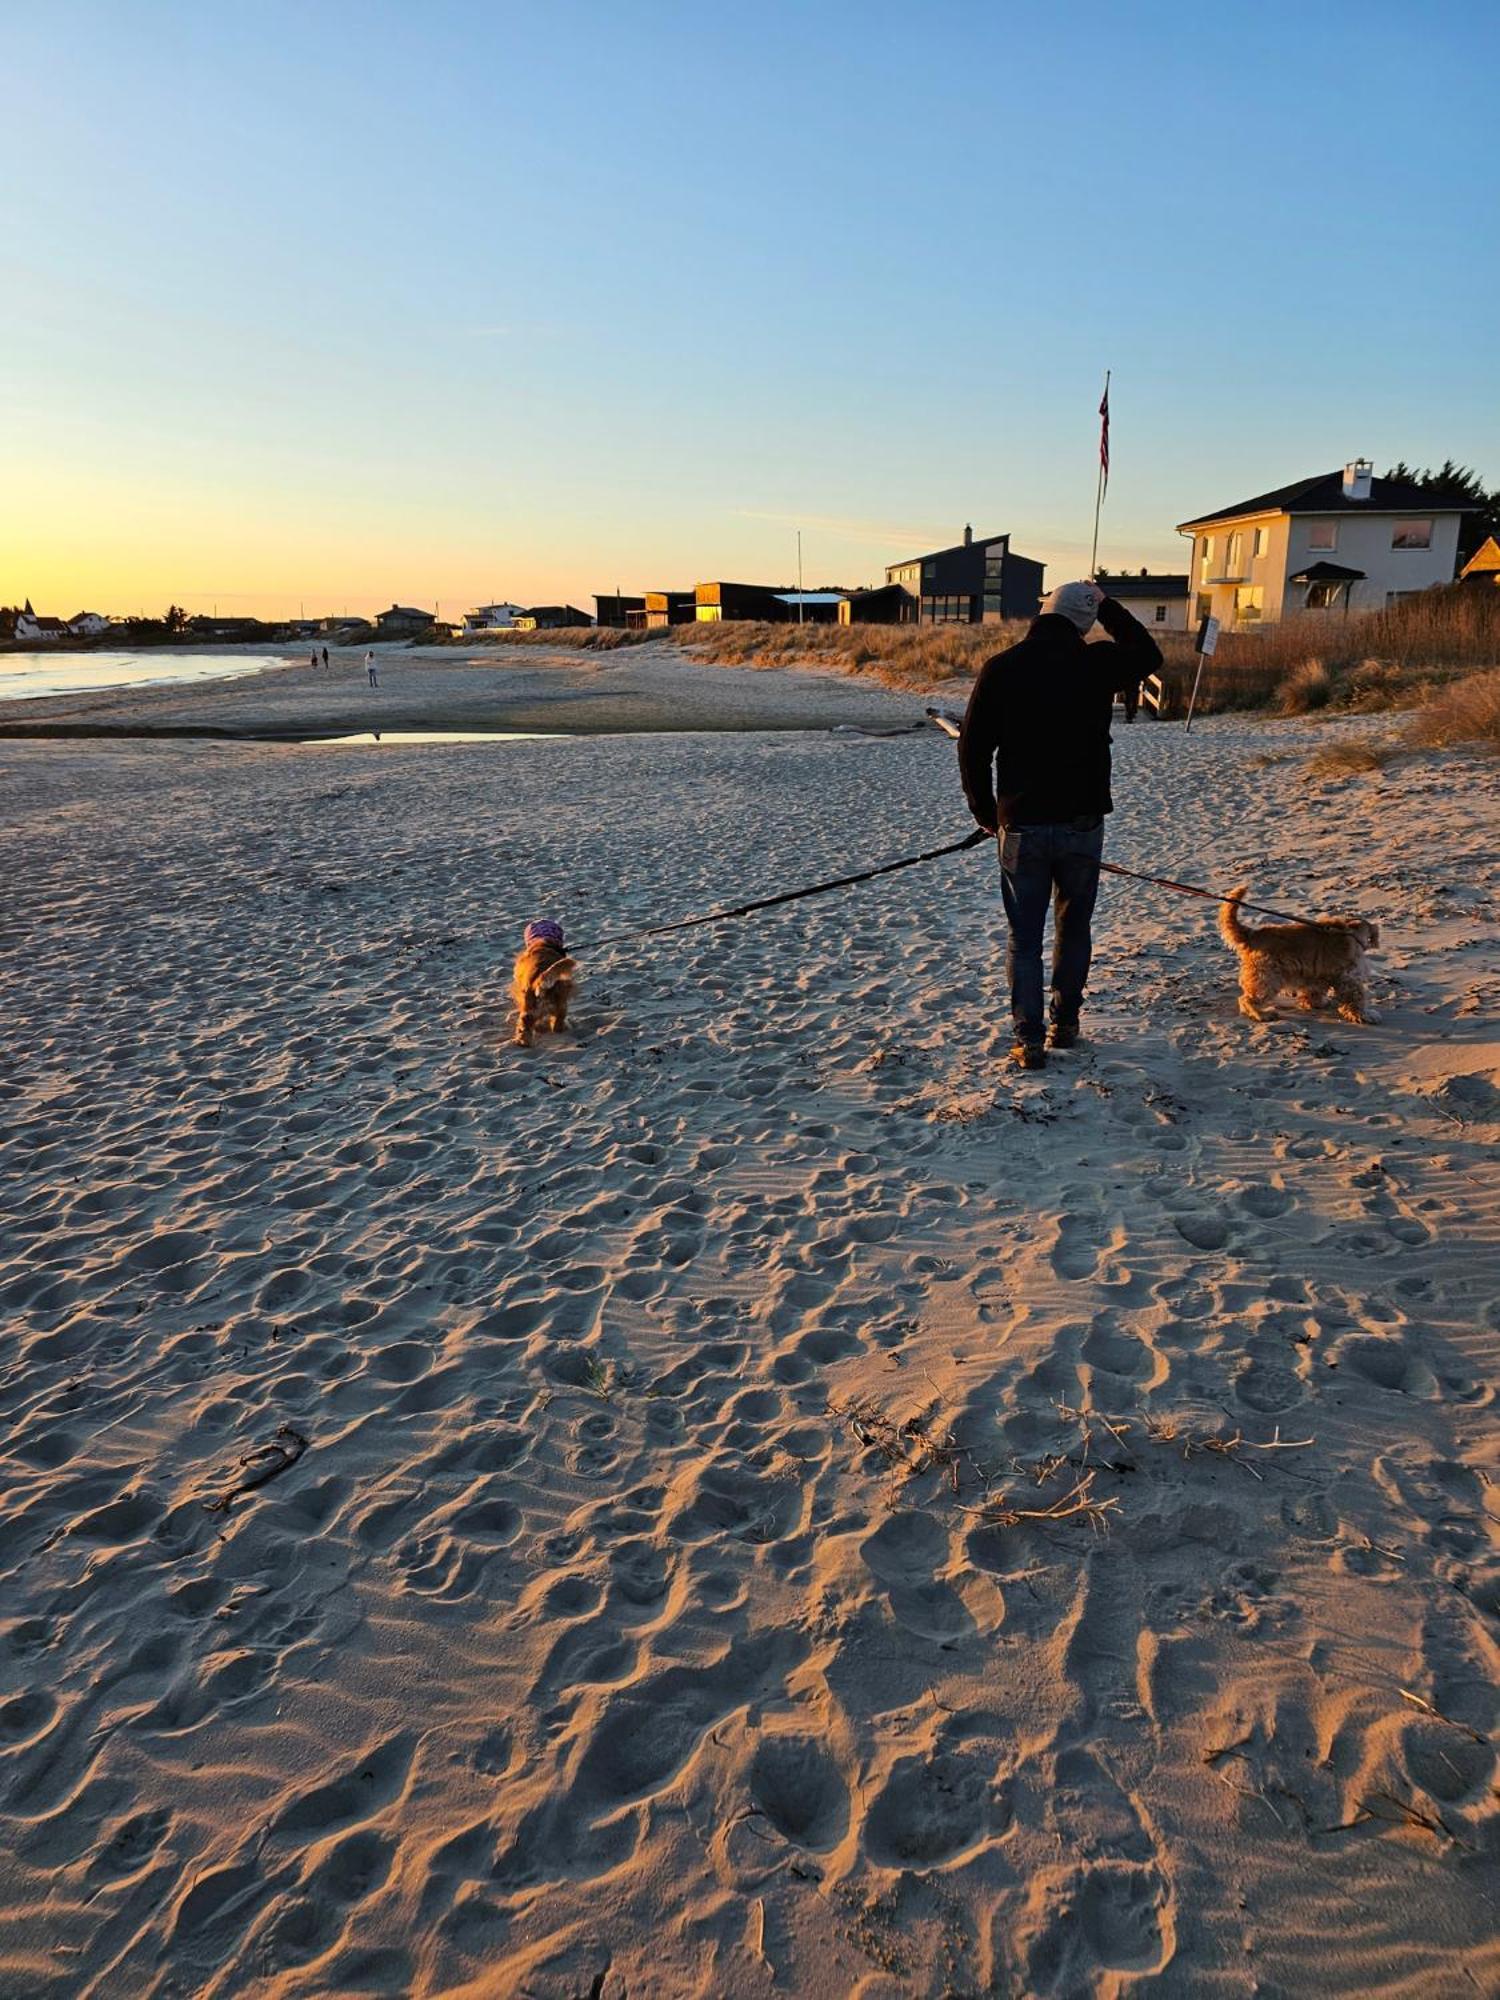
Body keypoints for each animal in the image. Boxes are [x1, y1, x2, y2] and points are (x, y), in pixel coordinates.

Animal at [1224, 884, 1384, 1024]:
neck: (1352, 932)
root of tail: (1252, 934)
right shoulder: (1349, 977)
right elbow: (1356, 999)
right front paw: (1364, 1015)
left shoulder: (1316, 974)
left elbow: (1314, 991)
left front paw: (1316, 1003)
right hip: (1268, 978)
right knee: (1247, 999)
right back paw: (1262, 1014)